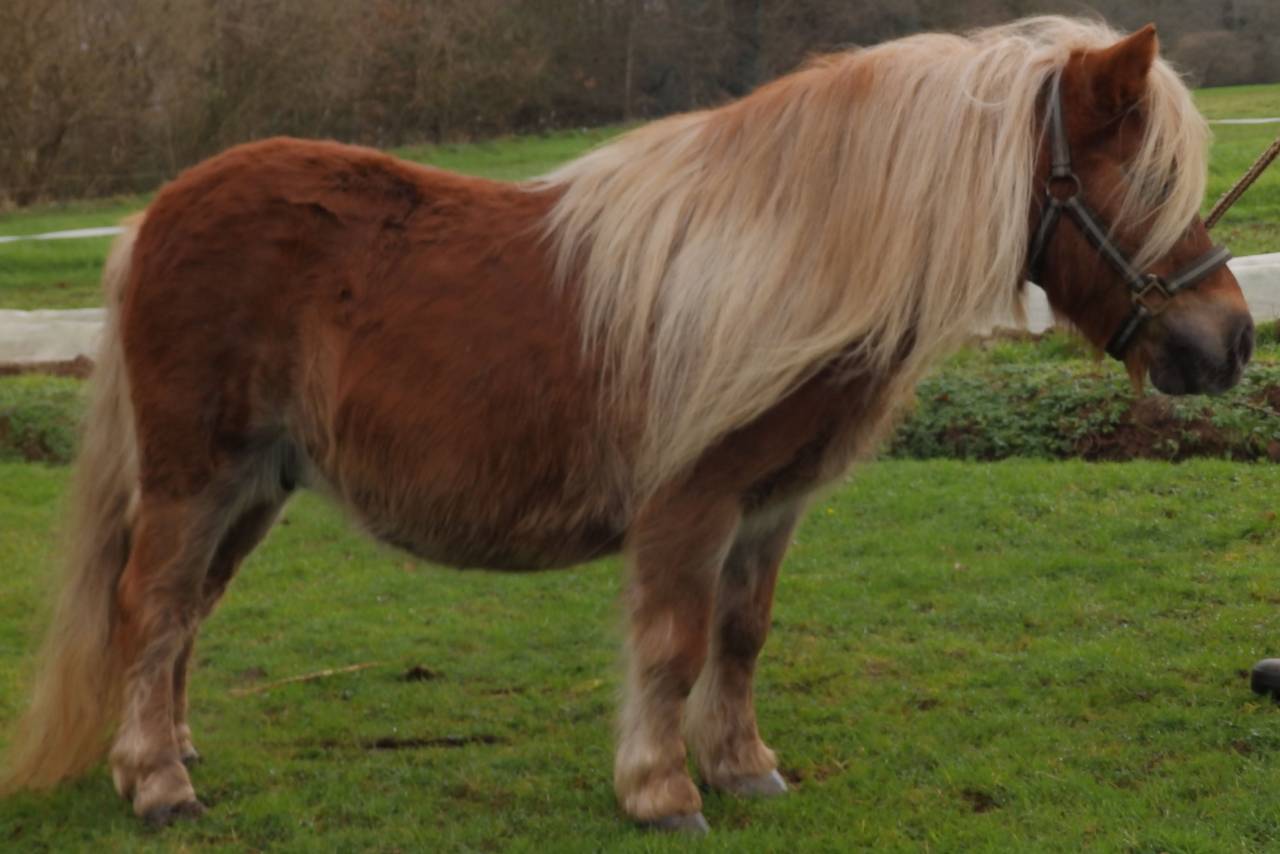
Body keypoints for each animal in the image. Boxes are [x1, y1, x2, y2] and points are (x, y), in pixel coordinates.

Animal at [0, 16, 1253, 833]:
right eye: (1143, 182)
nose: (1229, 342)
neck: (783, 263)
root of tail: (152, 217)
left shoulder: (768, 508)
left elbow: (741, 638)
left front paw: (743, 766)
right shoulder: (689, 506)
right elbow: (674, 643)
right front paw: (660, 788)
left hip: (254, 486)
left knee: (182, 616)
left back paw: (167, 749)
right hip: (194, 475)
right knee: (153, 606)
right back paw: (157, 783)